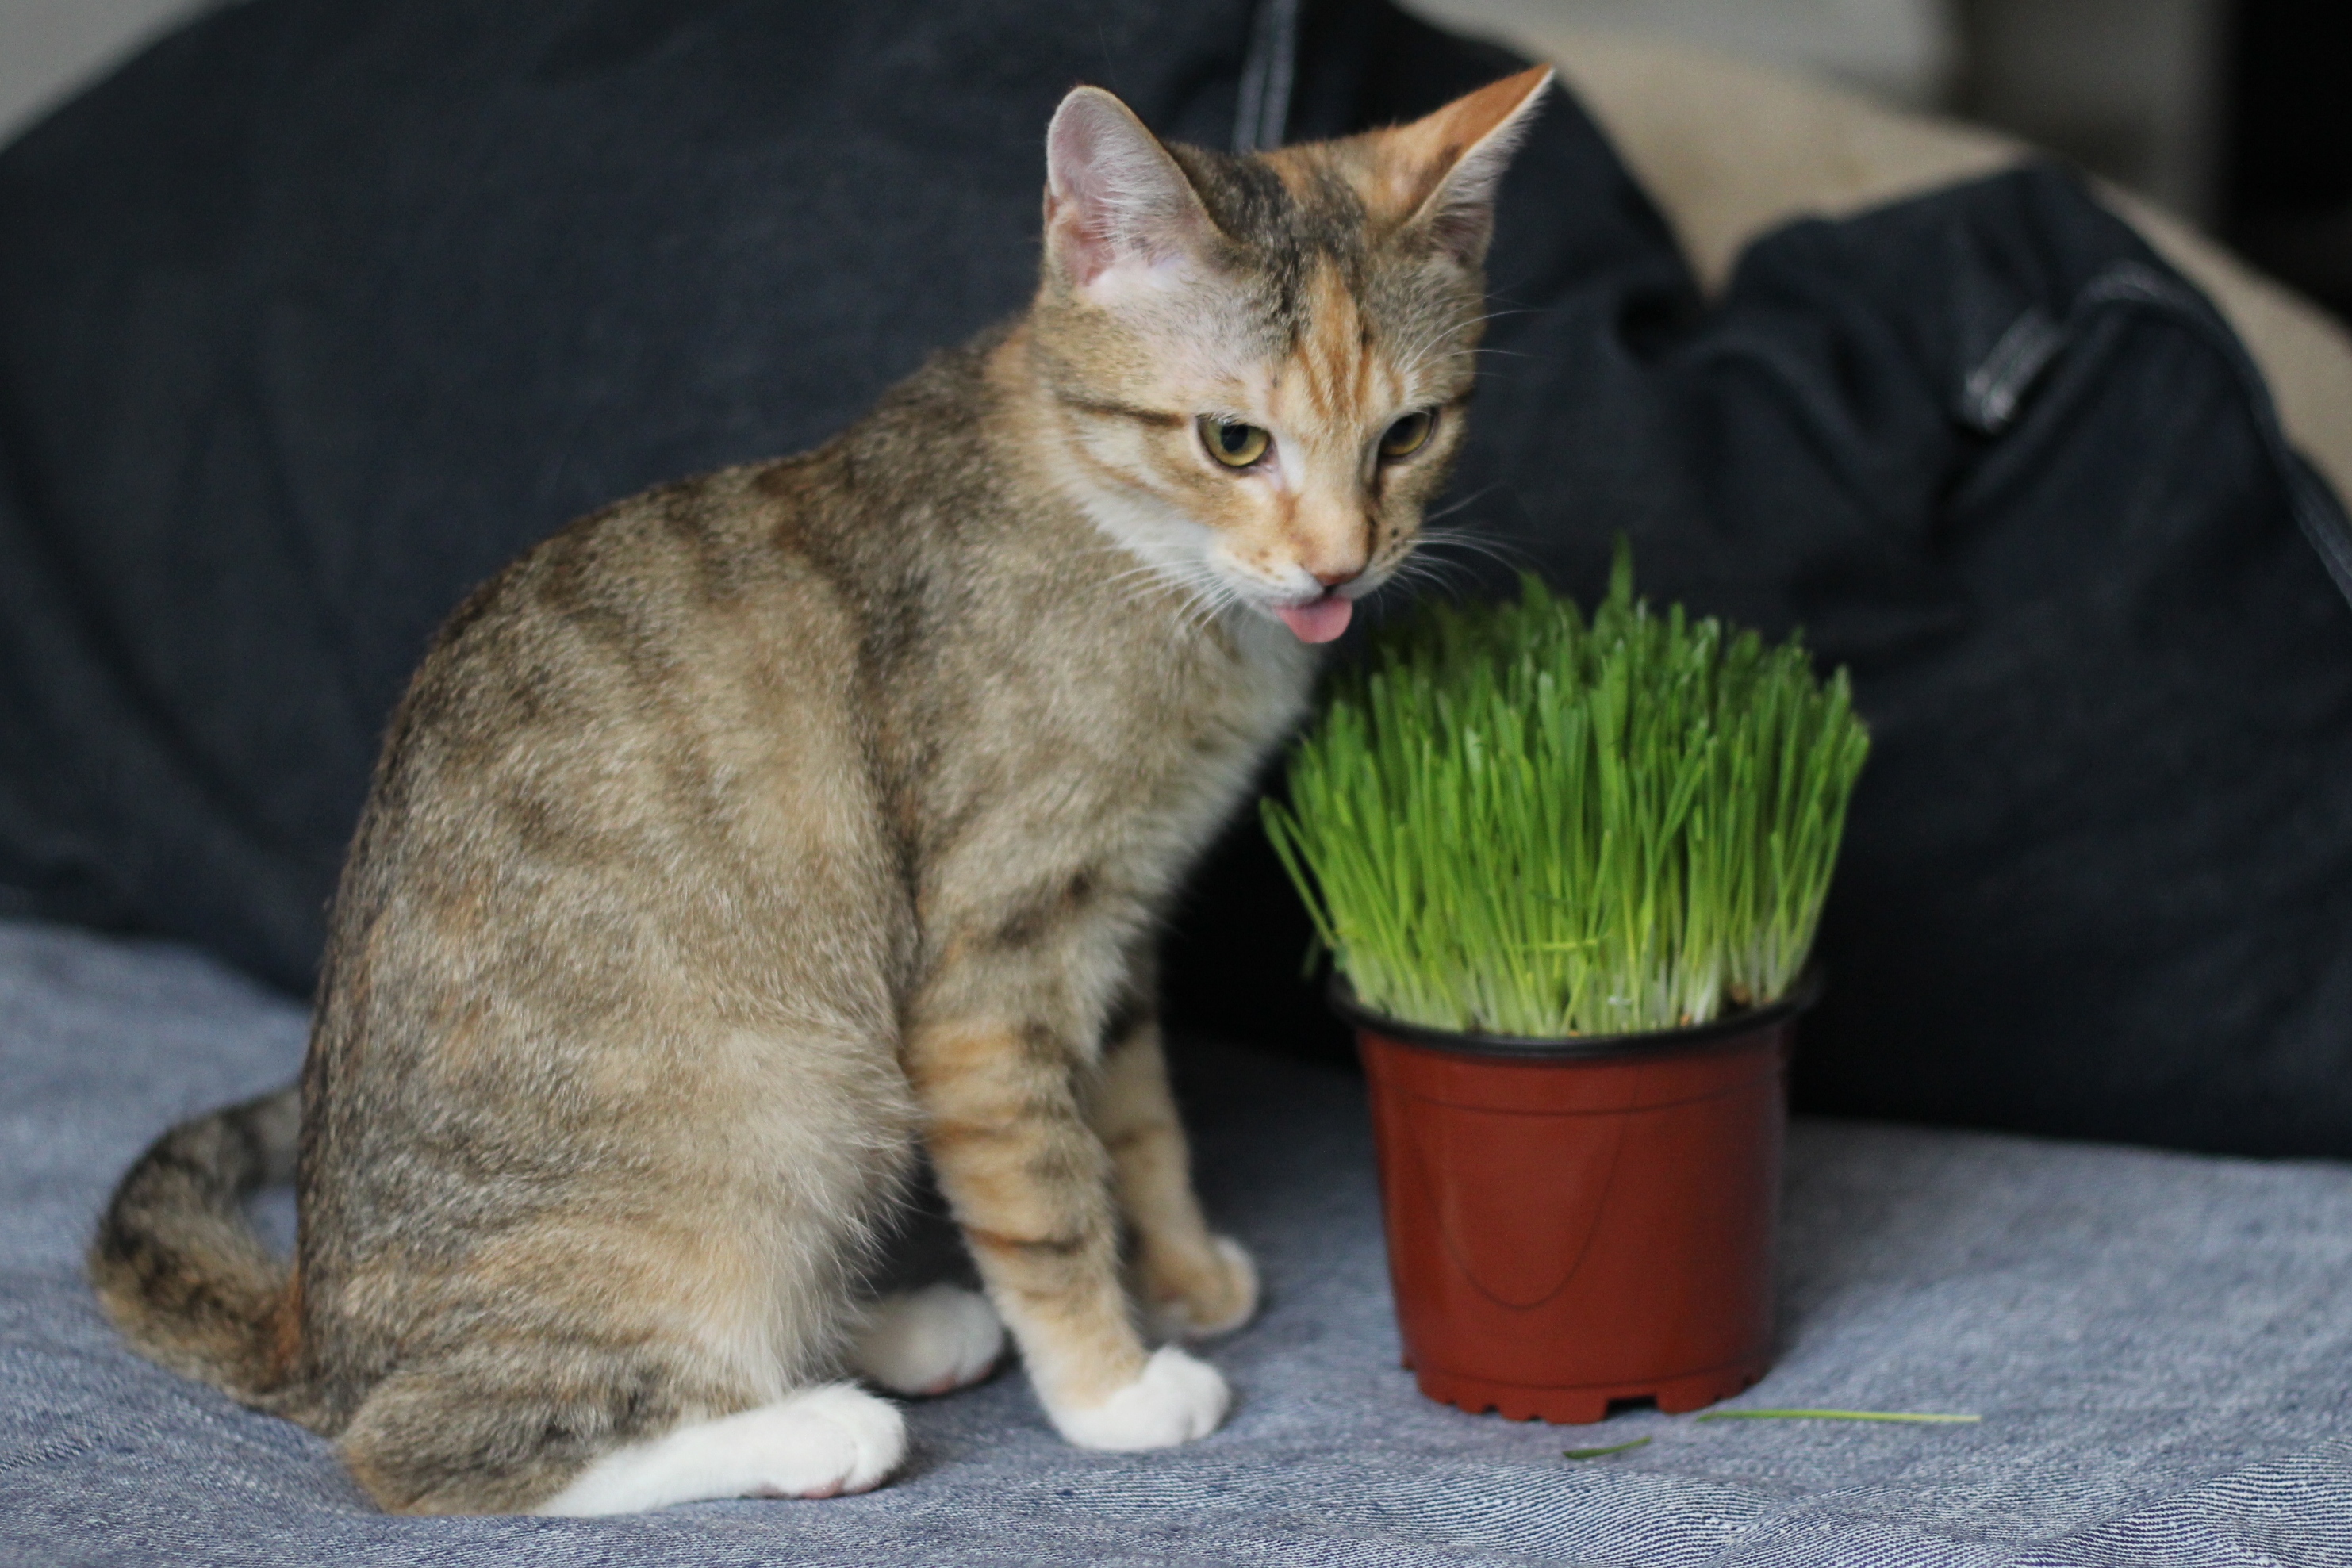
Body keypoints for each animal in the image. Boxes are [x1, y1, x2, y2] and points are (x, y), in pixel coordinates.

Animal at [89, 65, 1552, 1516]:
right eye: (1235, 440)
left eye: (1407, 433)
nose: (1340, 567)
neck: (1135, 555)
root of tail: (315, 1333)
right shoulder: (988, 970)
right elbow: (1046, 1185)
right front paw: (1111, 1386)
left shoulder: (1121, 925)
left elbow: (1139, 1120)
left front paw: (1181, 1271)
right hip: (779, 1116)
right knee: (440, 1448)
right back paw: (813, 1426)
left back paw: (890, 1329)